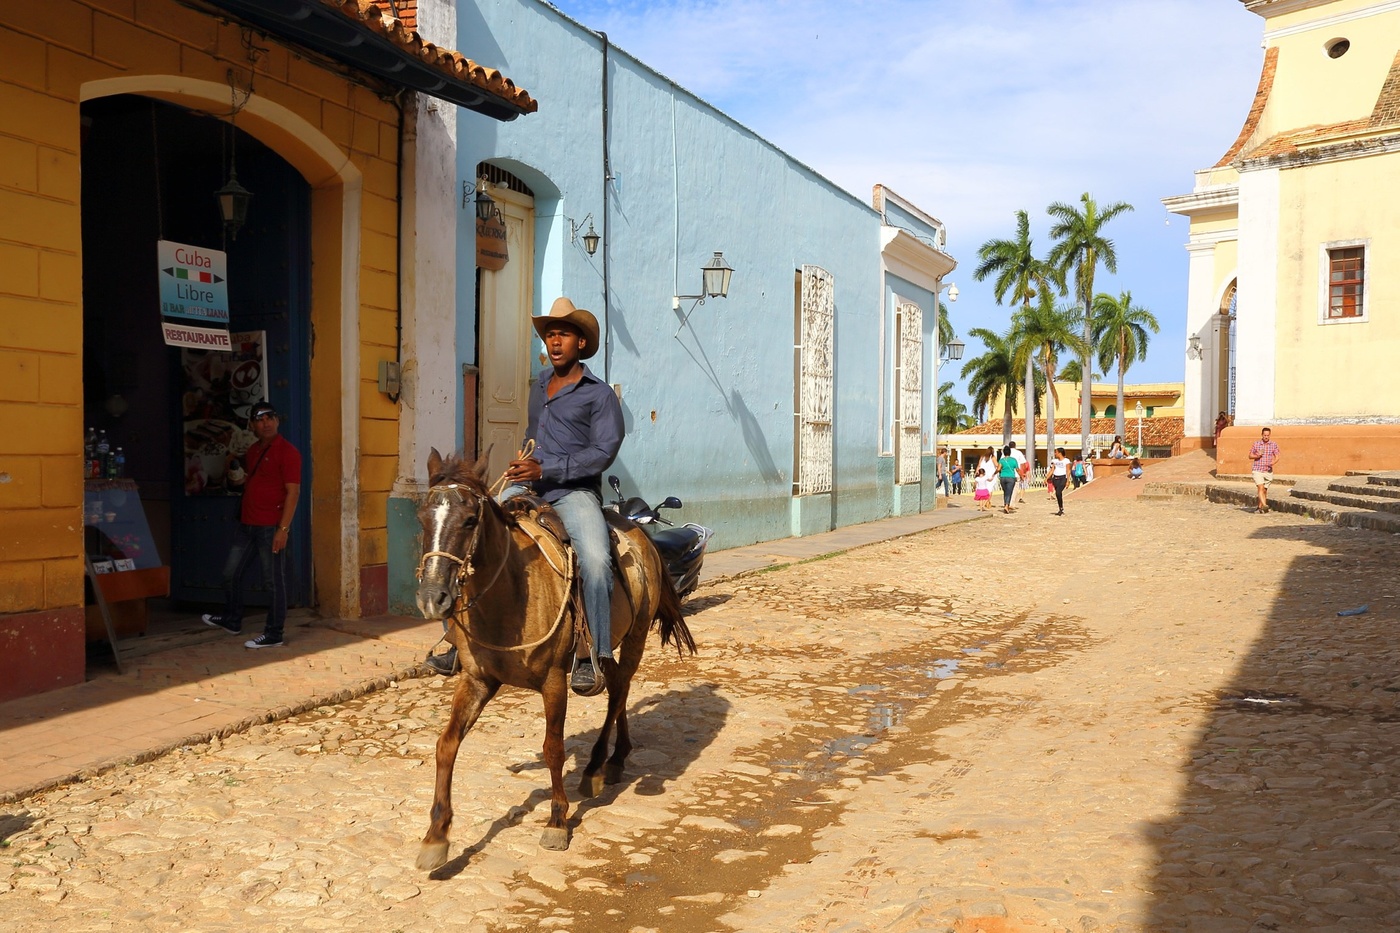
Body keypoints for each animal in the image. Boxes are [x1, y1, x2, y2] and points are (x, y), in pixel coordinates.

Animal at [408, 448, 694, 868]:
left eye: (470, 519)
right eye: (423, 518)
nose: (433, 597)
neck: (510, 594)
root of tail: (637, 531)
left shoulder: (555, 681)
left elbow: (553, 749)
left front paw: (557, 820)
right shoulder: (477, 680)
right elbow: (447, 744)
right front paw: (435, 836)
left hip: (636, 637)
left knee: (618, 692)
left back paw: (596, 765)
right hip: (606, 647)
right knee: (619, 689)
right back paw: (617, 758)